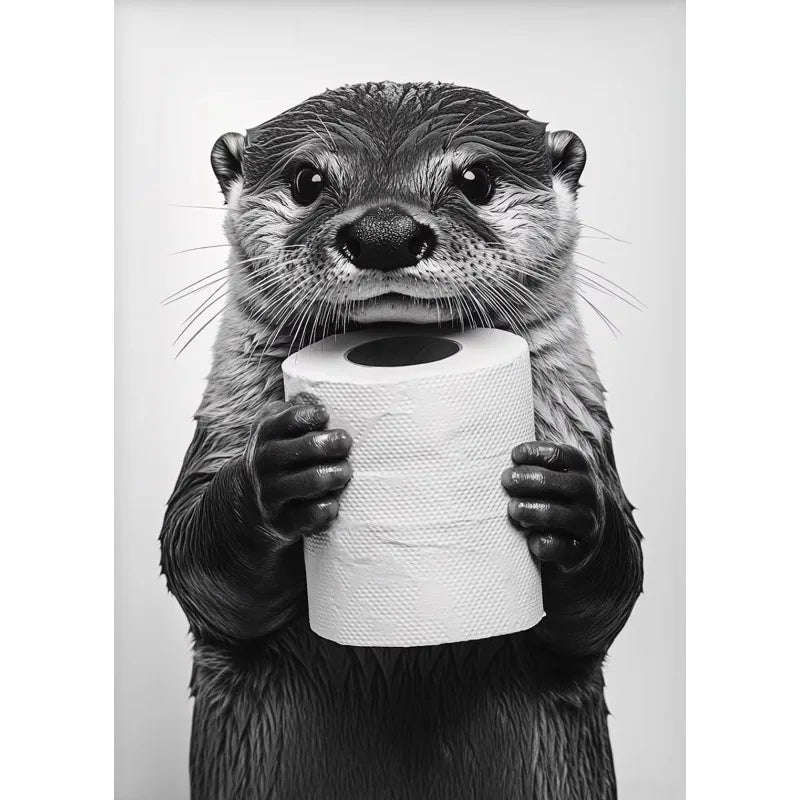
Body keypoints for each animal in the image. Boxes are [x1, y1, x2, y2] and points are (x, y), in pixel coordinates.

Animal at [161, 81, 643, 799]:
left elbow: (606, 601)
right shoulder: (220, 430)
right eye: (307, 179)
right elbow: (197, 567)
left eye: (476, 178)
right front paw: (277, 475)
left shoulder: (583, 425)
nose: (383, 233)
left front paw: (564, 501)